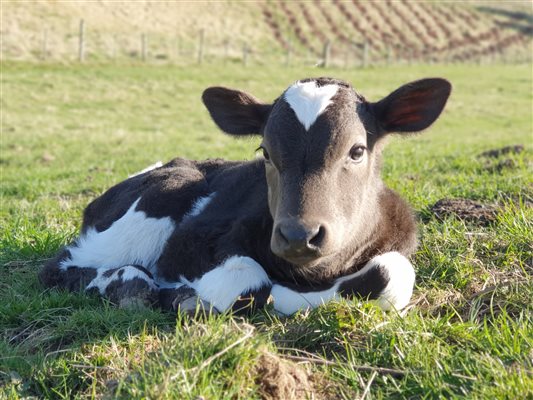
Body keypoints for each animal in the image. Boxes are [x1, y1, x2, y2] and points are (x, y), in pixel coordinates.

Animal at [39, 77, 450, 316]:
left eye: (357, 150)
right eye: (265, 151)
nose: (298, 235)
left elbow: (392, 272)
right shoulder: (196, 243)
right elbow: (251, 283)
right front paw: (186, 297)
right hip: (158, 200)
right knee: (61, 267)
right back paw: (130, 282)